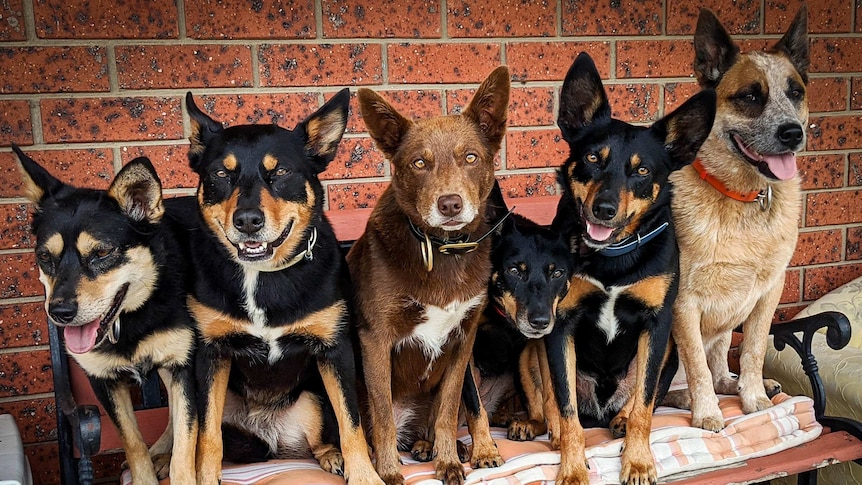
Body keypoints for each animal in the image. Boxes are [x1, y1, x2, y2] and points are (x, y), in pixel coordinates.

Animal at [16, 147, 198, 484]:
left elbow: (186, 443)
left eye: (101, 253)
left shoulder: (185, 363)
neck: (130, 319)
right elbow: (134, 444)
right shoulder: (103, 380)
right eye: (45, 257)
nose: (60, 312)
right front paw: (147, 471)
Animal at [184, 91, 380, 484]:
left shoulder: (335, 351)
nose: (247, 221)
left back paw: (332, 456)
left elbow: (351, 423)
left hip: (313, 398)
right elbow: (207, 434)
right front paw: (205, 476)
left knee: (322, 436)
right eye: (220, 174)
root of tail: (267, 431)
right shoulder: (210, 355)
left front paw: (365, 475)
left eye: (281, 173)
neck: (262, 276)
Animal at [350, 66, 512, 482]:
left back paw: (435, 446)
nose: (450, 204)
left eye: (470, 157)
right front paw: (389, 472)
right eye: (419, 164)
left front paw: (450, 461)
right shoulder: (376, 339)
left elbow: (450, 408)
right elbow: (383, 417)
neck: (442, 250)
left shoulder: (463, 341)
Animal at [552, 51, 720, 482]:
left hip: (672, 346)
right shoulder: (561, 324)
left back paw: (622, 418)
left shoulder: (657, 323)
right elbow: (566, 408)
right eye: (592, 159)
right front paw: (572, 468)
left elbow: (646, 404)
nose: (604, 209)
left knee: (644, 395)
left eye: (642, 170)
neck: (614, 257)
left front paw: (639, 460)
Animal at [668, 5, 808, 432]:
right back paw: (687, 399)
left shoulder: (769, 292)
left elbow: (754, 351)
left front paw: (754, 397)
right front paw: (707, 412)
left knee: (719, 368)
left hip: (726, 327)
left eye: (795, 92)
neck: (744, 198)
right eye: (749, 96)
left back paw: (739, 386)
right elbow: (695, 366)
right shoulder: (683, 302)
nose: (793, 133)